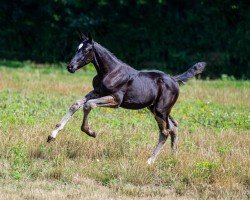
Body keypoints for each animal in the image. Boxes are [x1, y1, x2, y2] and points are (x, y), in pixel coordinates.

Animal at [47, 33, 205, 164]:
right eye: (76, 49)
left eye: (86, 50)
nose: (70, 67)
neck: (110, 72)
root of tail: (174, 79)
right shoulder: (97, 92)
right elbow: (76, 104)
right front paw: (52, 135)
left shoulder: (116, 100)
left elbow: (89, 105)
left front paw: (90, 132)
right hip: (156, 109)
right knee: (173, 127)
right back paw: (173, 156)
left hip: (160, 110)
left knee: (165, 132)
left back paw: (150, 160)